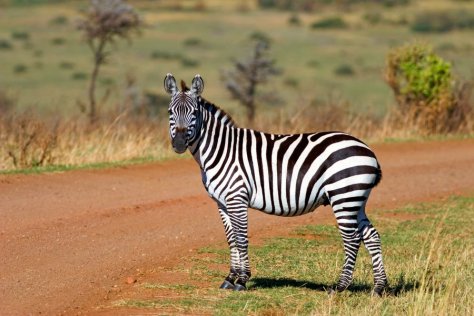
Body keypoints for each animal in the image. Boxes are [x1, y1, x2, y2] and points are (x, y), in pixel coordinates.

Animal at [165, 73, 386, 296]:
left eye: (194, 112)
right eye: (170, 112)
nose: (179, 144)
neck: (220, 150)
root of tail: (368, 150)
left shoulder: (237, 197)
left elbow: (241, 238)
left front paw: (242, 280)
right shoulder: (222, 203)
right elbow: (231, 239)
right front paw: (230, 278)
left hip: (343, 197)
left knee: (352, 239)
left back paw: (340, 287)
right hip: (355, 200)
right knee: (371, 236)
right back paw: (379, 288)